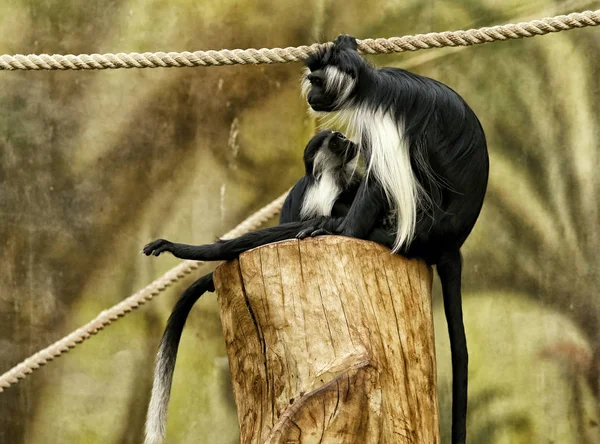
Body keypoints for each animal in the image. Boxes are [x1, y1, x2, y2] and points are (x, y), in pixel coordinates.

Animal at [302, 34, 490, 444]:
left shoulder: (381, 120)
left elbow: (378, 180)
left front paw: (341, 230)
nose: (309, 94)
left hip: (425, 226)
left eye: (318, 81)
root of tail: (452, 242)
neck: (370, 85)